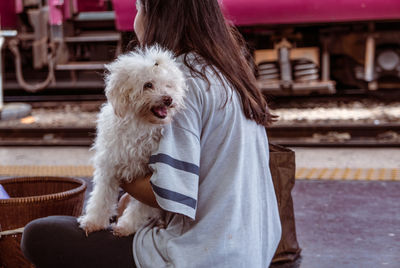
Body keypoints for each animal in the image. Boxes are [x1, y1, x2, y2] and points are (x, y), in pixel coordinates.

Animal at [78, 46, 188, 237]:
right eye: (148, 85)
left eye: (168, 85)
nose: (168, 98)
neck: (140, 125)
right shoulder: (109, 166)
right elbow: (101, 197)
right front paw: (93, 221)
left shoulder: (147, 176)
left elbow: (140, 207)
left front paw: (126, 226)